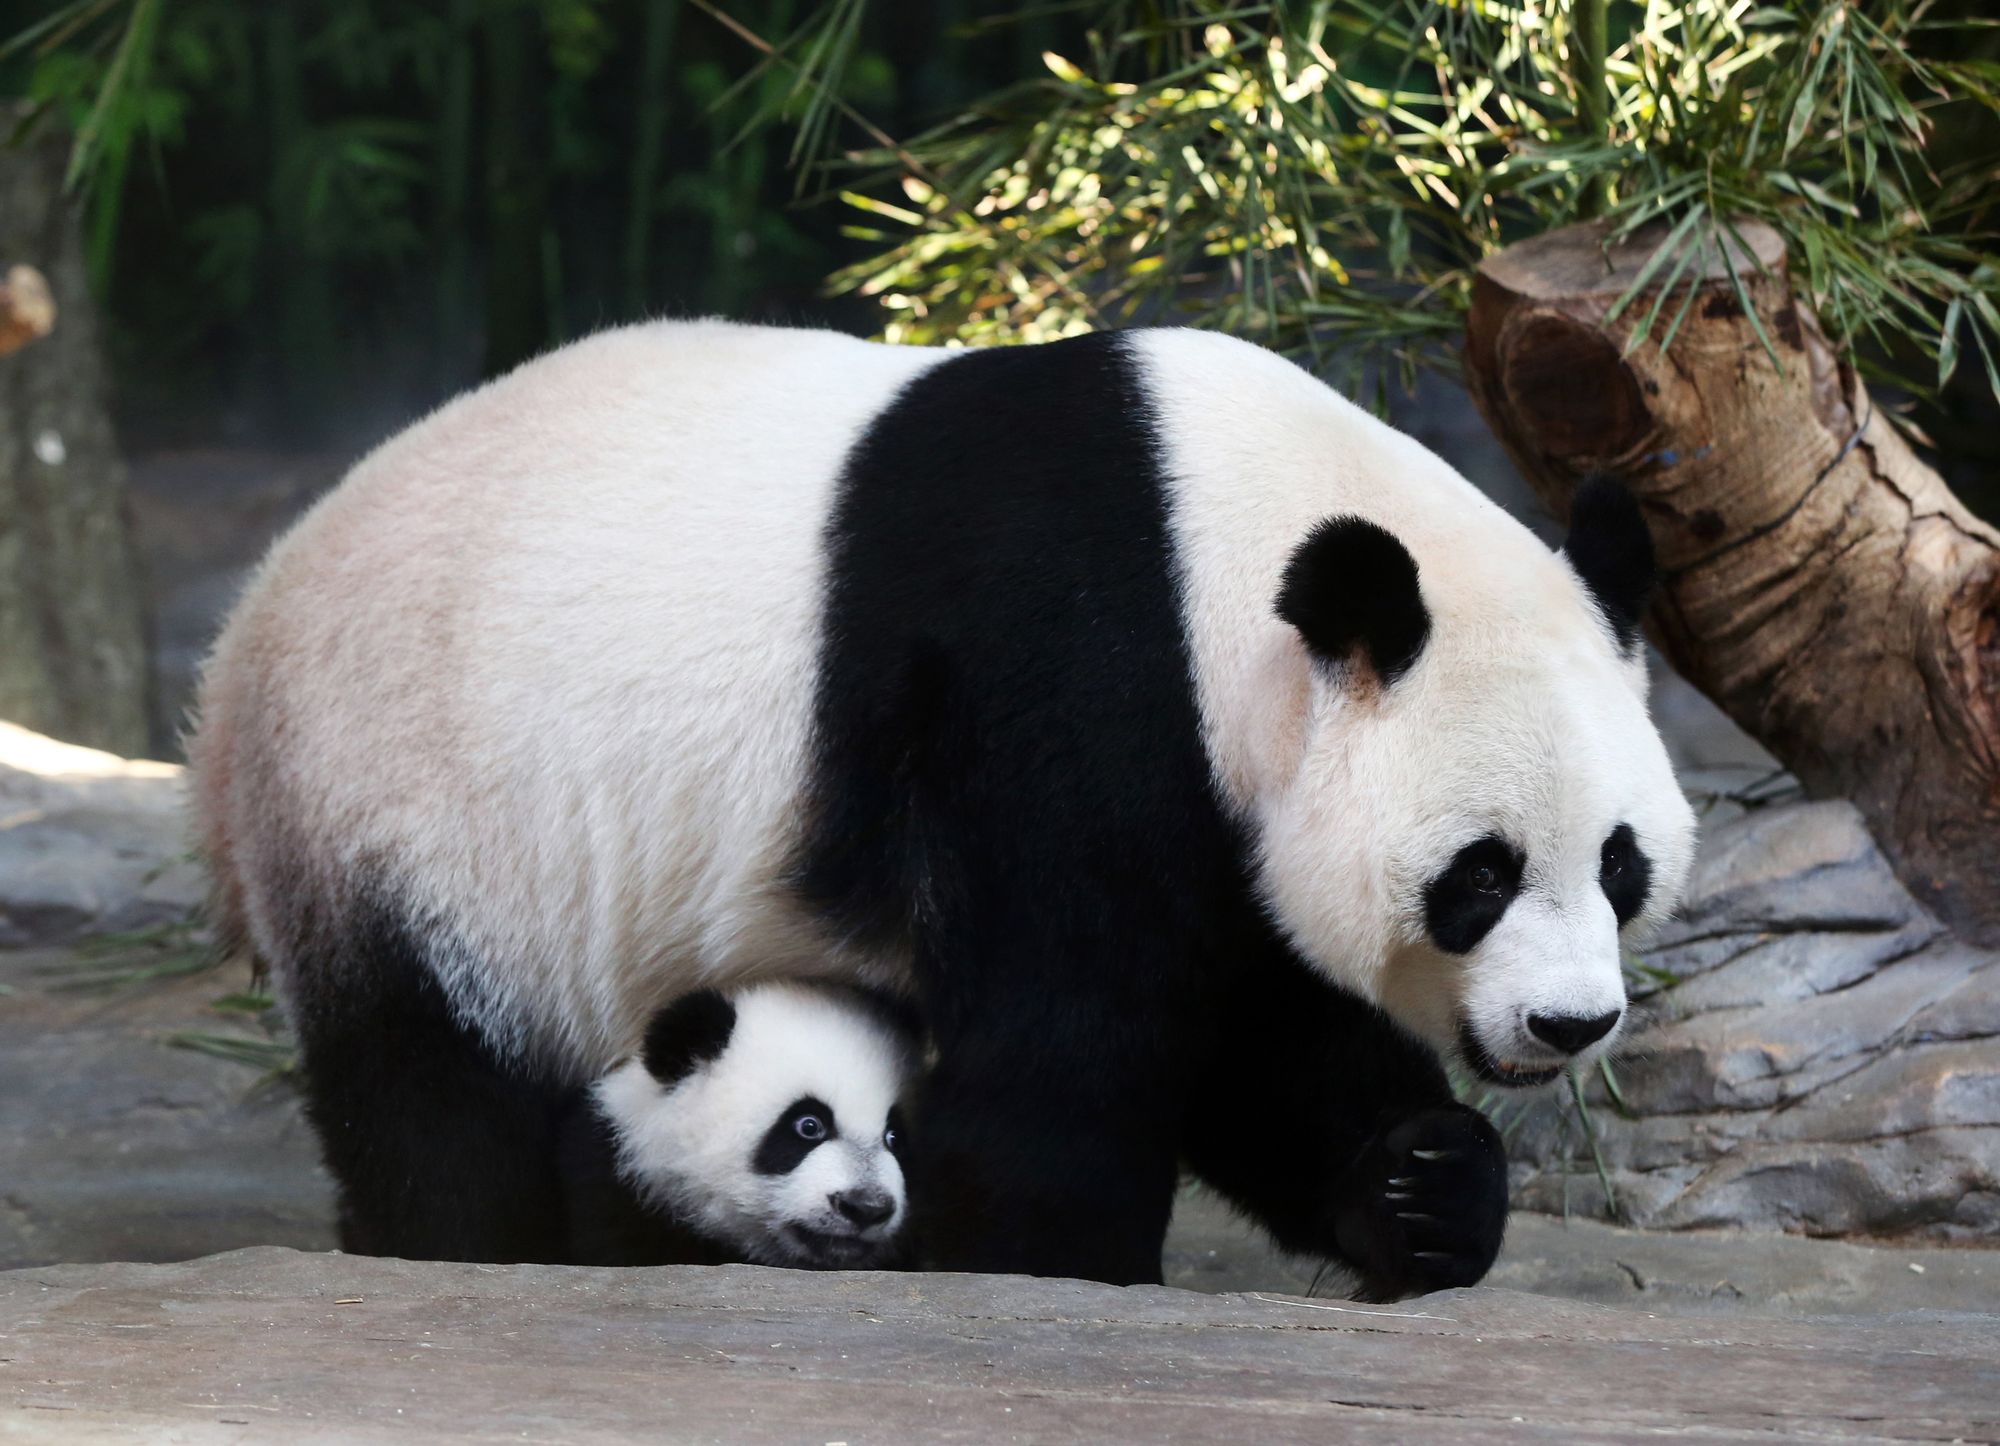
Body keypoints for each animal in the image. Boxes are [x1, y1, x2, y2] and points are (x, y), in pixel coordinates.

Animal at [188, 322, 1696, 1296]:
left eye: (1621, 867)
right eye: (1479, 875)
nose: (1570, 1024)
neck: (1216, 538)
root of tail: (241, 642)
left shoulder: (1217, 800)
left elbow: (1260, 1028)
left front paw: (1424, 1189)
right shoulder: (1058, 682)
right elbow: (1066, 1042)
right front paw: (1056, 1269)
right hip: (414, 810)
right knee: (435, 1085)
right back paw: (468, 1247)